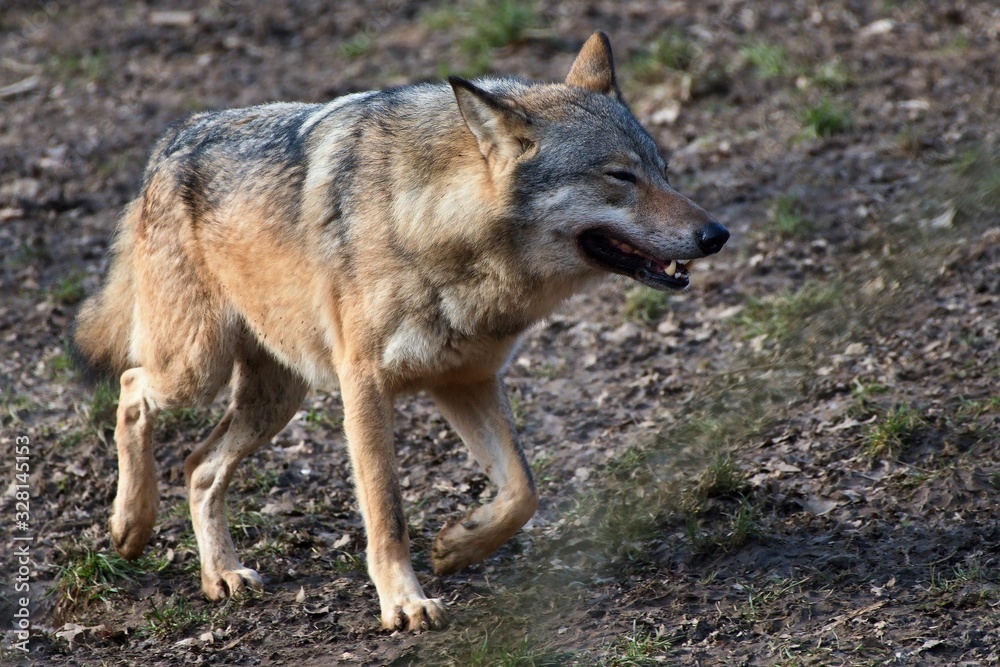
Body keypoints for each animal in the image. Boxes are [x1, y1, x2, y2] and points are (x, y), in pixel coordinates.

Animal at [72, 32, 728, 632]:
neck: (436, 228)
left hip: (278, 397)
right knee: (131, 390)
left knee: (199, 465)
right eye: (620, 176)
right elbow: (387, 511)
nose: (717, 234)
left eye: (664, 171)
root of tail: (173, 138)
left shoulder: (467, 381)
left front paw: (458, 544)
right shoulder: (365, 386)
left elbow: (523, 491)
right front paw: (405, 603)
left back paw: (220, 575)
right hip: (195, 370)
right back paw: (130, 525)